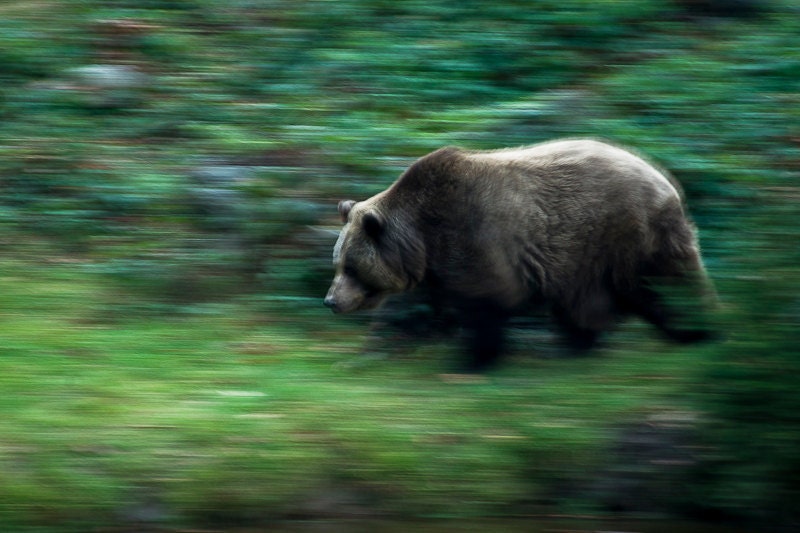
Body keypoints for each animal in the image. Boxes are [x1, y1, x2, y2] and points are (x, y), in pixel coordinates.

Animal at [324, 139, 715, 371]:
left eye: (351, 266)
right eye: (338, 263)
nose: (330, 301)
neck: (420, 236)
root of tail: (663, 177)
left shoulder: (471, 236)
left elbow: (486, 301)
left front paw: (472, 359)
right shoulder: (430, 268)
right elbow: (411, 311)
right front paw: (375, 350)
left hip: (623, 234)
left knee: (665, 285)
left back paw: (699, 330)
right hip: (586, 258)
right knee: (590, 300)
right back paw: (578, 346)